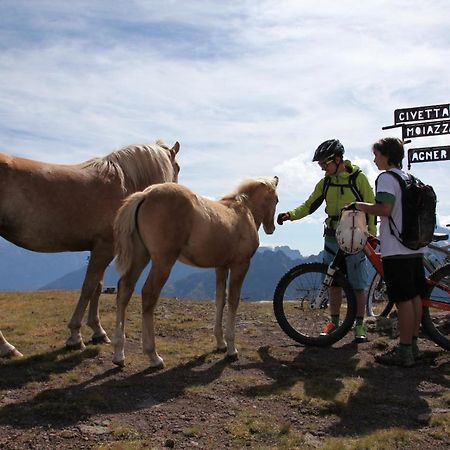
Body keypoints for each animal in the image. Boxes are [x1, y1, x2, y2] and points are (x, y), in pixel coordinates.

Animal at [0, 141, 179, 358]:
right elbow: (88, 286)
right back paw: (7, 347)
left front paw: (97, 332)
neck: (122, 182)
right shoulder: (105, 248)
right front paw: (75, 336)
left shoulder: (100, 249)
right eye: (178, 168)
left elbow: (97, 287)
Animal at [111, 174, 278, 368]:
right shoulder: (240, 265)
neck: (244, 211)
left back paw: (119, 354)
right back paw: (153, 356)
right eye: (276, 199)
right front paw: (231, 349)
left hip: (140, 256)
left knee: (125, 289)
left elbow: (220, 299)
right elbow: (233, 301)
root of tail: (145, 194)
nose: (271, 228)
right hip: (163, 261)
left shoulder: (221, 267)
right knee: (148, 294)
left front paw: (220, 343)